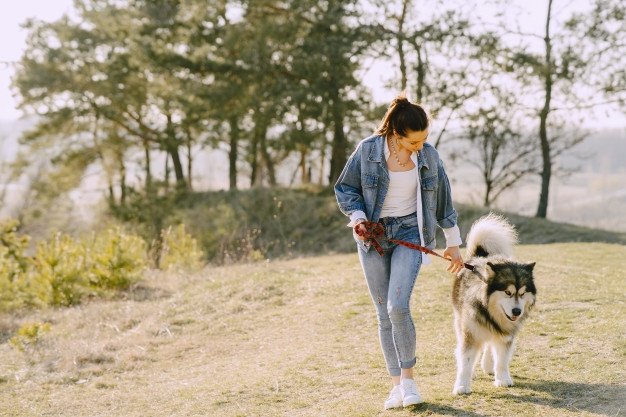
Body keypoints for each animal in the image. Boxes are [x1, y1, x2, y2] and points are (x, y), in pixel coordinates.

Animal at [450, 213, 532, 394]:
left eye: (522, 293)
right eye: (507, 292)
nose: (517, 312)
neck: (489, 311)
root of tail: (481, 257)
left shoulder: (505, 336)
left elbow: (502, 360)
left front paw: (503, 379)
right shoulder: (471, 332)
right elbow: (466, 361)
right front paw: (462, 385)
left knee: (489, 345)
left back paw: (488, 365)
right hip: (461, 322)